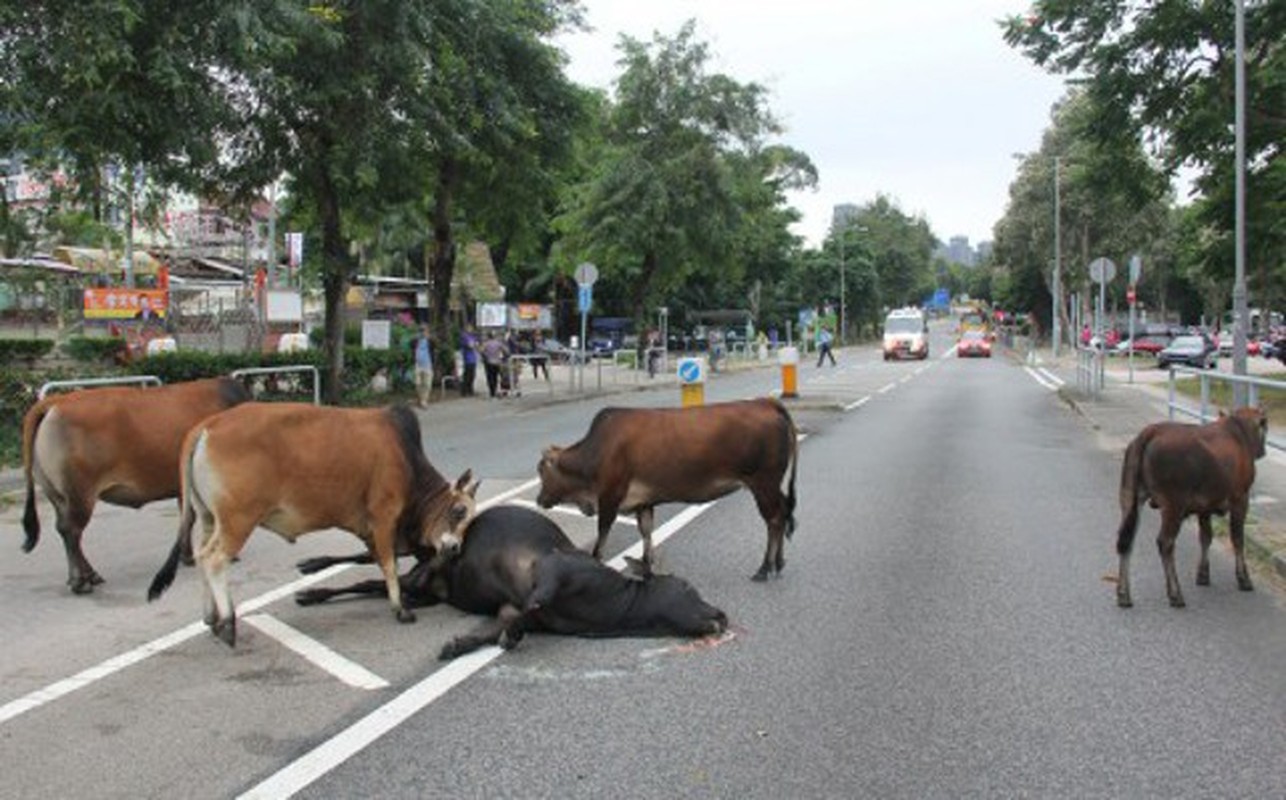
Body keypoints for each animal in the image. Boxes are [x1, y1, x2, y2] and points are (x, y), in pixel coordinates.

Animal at [147, 403, 478, 648]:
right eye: (459, 510)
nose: (453, 549)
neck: (407, 459)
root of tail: (207, 425)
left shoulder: (372, 531)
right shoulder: (383, 518)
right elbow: (389, 566)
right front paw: (400, 609)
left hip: (208, 518)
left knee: (202, 554)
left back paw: (211, 617)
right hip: (237, 520)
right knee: (213, 559)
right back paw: (228, 624)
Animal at [294, 506, 730, 663]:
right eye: (688, 587)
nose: (721, 614)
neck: (614, 612)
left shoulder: (513, 610)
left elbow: (502, 624)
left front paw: (461, 644)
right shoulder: (553, 570)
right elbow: (533, 602)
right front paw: (507, 638)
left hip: (423, 590)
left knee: (375, 582)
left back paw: (319, 592)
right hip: (426, 553)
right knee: (368, 559)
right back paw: (311, 571)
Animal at [532, 401, 792, 583]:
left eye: (542, 470)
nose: (539, 499)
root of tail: (765, 403)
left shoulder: (609, 499)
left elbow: (601, 540)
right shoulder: (643, 503)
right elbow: (646, 533)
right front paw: (646, 567)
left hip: (763, 484)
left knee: (774, 521)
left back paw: (764, 568)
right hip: (771, 486)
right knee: (784, 512)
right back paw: (779, 564)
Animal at [1116, 406, 1265, 607]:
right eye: (1264, 425)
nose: (1262, 451)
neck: (1238, 432)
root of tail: (1151, 431)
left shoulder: (1205, 507)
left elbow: (1206, 537)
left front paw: (1203, 575)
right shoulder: (1240, 499)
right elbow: (1237, 539)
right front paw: (1244, 579)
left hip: (1130, 498)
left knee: (1126, 540)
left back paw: (1124, 594)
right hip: (1173, 505)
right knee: (1165, 542)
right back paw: (1175, 594)